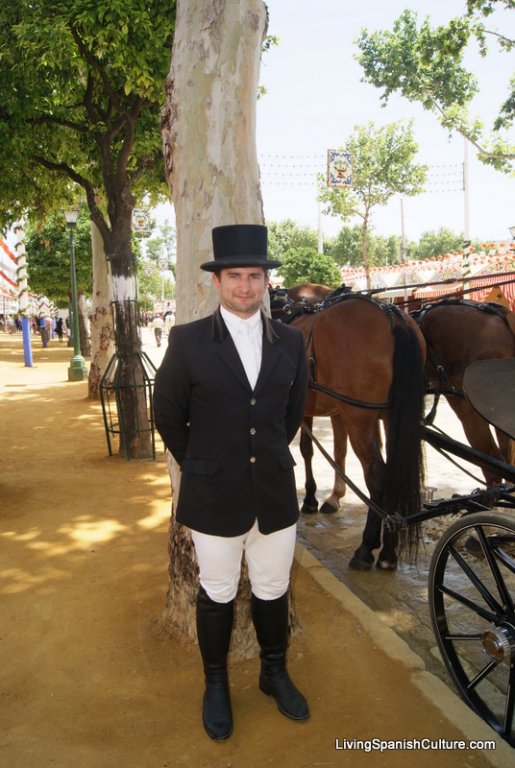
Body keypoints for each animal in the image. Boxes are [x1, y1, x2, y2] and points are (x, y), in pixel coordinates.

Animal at [284, 294, 426, 568]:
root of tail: (392, 314)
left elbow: (304, 450)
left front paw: (309, 499)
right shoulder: (332, 412)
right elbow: (334, 451)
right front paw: (325, 498)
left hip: (358, 416)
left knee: (377, 474)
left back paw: (365, 548)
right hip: (391, 419)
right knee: (393, 473)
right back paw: (388, 552)